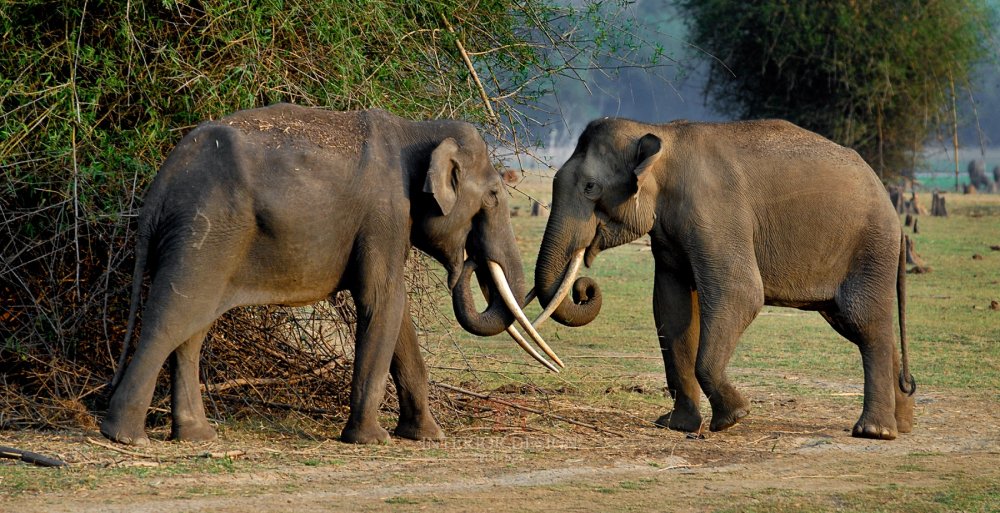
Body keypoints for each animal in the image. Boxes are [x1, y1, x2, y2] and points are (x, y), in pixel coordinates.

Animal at [103, 103, 564, 444]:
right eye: (493, 196)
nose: (468, 262)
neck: (416, 129)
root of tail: (161, 184)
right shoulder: (384, 214)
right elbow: (382, 300)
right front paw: (372, 440)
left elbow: (397, 313)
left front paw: (427, 436)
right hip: (206, 231)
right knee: (173, 317)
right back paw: (126, 437)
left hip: (201, 238)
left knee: (193, 326)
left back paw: (196, 437)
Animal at [536, 116, 916, 440]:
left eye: (590, 187)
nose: (584, 288)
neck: (660, 134)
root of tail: (891, 208)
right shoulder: (669, 232)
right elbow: (670, 308)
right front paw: (676, 425)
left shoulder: (715, 214)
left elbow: (740, 294)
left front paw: (733, 418)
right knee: (855, 323)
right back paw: (903, 424)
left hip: (870, 247)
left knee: (864, 322)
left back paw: (874, 431)